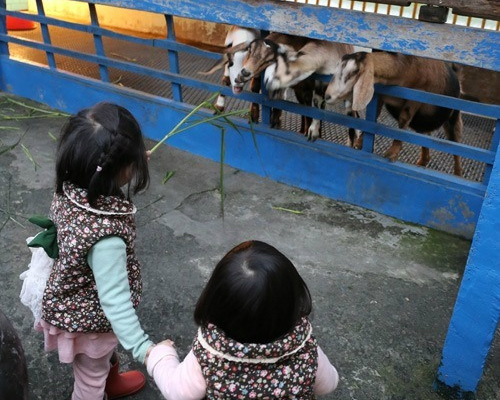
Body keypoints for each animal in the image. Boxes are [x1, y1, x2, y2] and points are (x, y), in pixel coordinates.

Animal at [326, 50, 462, 176]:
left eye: (353, 72)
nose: (327, 95)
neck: (406, 68)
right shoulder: (383, 92)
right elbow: (375, 114)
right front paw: (360, 142)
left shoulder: (417, 96)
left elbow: (403, 119)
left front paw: (392, 152)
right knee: (424, 137)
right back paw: (421, 163)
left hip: (453, 118)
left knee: (456, 144)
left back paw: (458, 174)